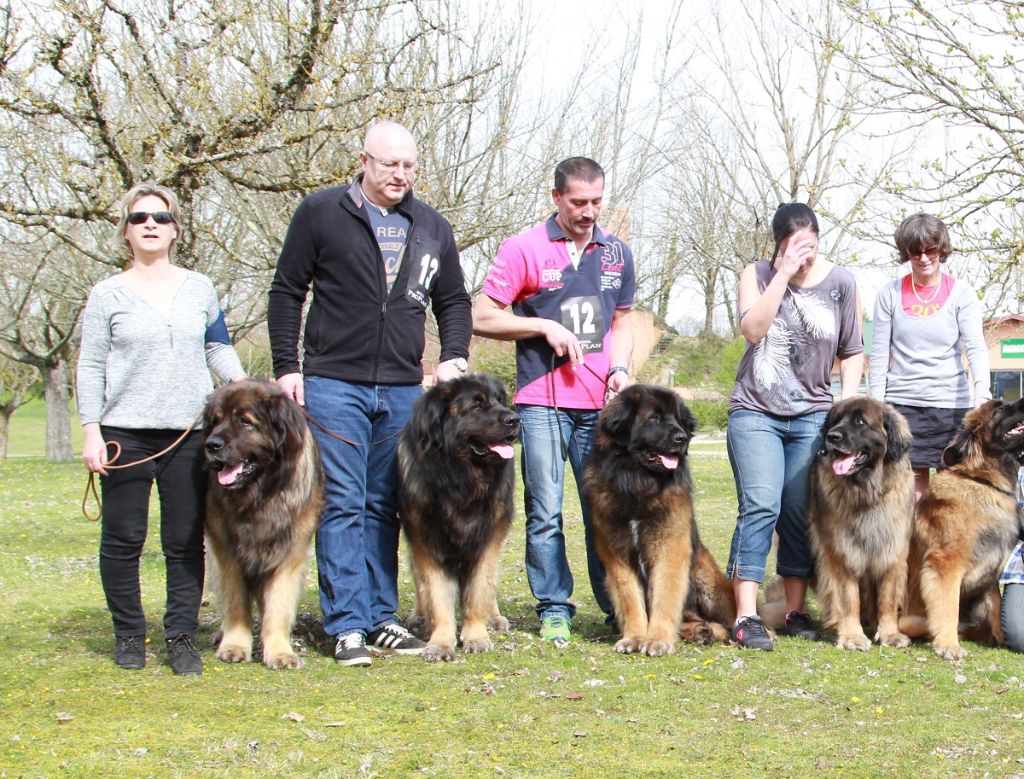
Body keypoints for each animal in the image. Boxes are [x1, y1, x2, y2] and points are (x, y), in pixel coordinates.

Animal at [201, 378, 321, 667]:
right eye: (216, 421)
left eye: (245, 421)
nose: (211, 445)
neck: (261, 493)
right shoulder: (227, 552)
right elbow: (235, 603)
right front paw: (234, 645)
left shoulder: (290, 551)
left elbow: (277, 604)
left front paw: (279, 651)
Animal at [393, 374, 516, 659]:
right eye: (477, 406)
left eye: (500, 401)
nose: (515, 419)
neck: (458, 479)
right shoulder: (427, 542)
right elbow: (437, 595)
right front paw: (440, 642)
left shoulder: (487, 540)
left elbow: (479, 590)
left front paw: (476, 636)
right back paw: (419, 616)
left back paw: (495, 618)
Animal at [585, 386, 737, 655]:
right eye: (654, 418)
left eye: (678, 419)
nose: (682, 438)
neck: (638, 484)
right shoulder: (618, 556)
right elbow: (630, 600)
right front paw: (634, 638)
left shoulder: (669, 549)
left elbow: (665, 597)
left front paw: (657, 640)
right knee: (698, 621)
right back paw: (700, 631)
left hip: (707, 580)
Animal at [811, 395, 917, 651]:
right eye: (835, 421)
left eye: (860, 422)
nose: (832, 437)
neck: (868, 493)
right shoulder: (842, 553)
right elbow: (848, 599)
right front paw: (852, 636)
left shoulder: (893, 550)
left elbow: (888, 598)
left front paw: (890, 634)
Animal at [901, 395, 1024, 655]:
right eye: (999, 410)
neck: (982, 481)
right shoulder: (945, 566)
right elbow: (948, 607)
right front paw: (948, 645)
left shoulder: (990, 567)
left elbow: (995, 605)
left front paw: (1000, 637)